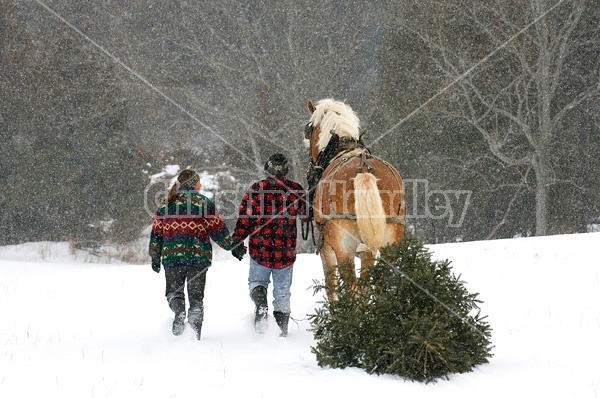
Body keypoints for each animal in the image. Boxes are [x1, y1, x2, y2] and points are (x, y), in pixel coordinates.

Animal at [302, 98, 406, 300]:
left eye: (308, 130)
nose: (311, 170)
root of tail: (364, 168)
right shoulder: (367, 252)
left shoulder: (326, 249)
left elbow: (332, 288)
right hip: (390, 241)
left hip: (344, 247)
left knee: (351, 290)